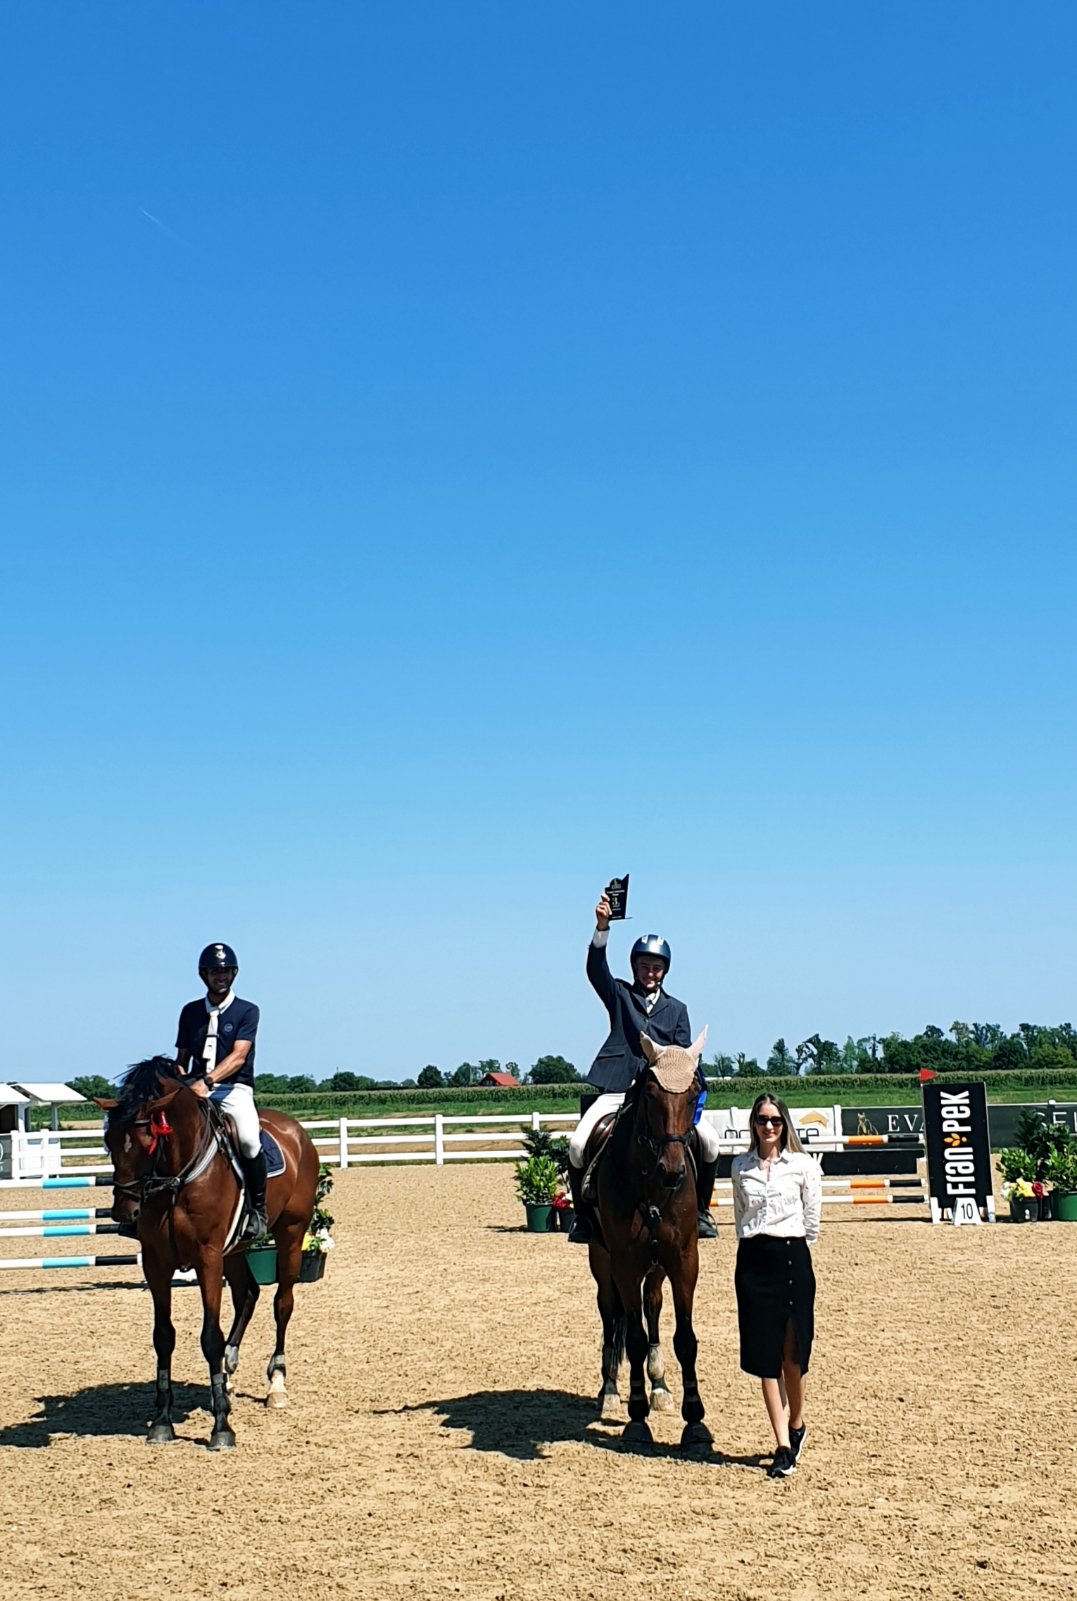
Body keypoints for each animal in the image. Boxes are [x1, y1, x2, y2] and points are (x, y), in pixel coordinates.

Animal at [100, 1055, 320, 1450]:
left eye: (146, 1141)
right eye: (109, 1141)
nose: (123, 1213)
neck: (176, 1177)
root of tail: (295, 1129)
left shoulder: (208, 1258)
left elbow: (210, 1337)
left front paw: (221, 1428)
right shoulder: (157, 1262)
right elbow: (163, 1336)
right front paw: (162, 1422)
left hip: (291, 1235)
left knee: (282, 1303)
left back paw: (276, 1385)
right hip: (235, 1251)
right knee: (248, 1294)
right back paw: (228, 1378)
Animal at [585, 1029, 712, 1455]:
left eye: (694, 1092)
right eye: (652, 1093)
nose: (672, 1171)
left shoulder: (684, 1260)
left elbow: (684, 1338)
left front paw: (695, 1423)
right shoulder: (624, 1264)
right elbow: (635, 1339)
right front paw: (637, 1419)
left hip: (656, 1266)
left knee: (652, 1305)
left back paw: (659, 1385)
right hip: (601, 1260)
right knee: (612, 1316)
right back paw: (610, 1391)